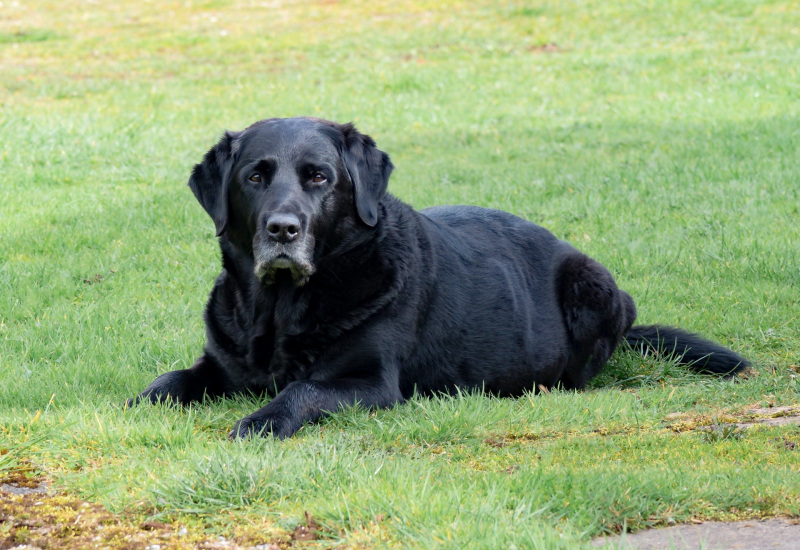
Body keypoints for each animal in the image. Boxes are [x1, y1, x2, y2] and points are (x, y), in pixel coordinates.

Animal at [130, 116, 752, 440]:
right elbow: (169, 380)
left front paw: (259, 422)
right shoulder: (219, 364)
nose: (283, 228)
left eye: (319, 177)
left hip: (594, 285)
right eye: (256, 177)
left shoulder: (369, 383)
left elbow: (300, 390)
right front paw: (140, 402)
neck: (280, 308)